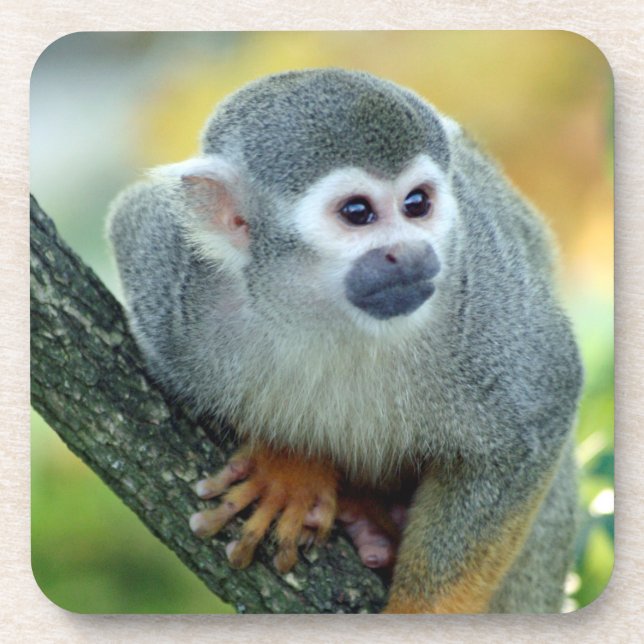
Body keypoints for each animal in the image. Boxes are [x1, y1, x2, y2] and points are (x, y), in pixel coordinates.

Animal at [107, 68, 583, 613]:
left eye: (417, 204)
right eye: (357, 212)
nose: (410, 254)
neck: (330, 313)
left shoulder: (482, 288)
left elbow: (541, 410)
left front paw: (422, 615)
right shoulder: (178, 289)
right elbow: (131, 217)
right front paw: (289, 466)